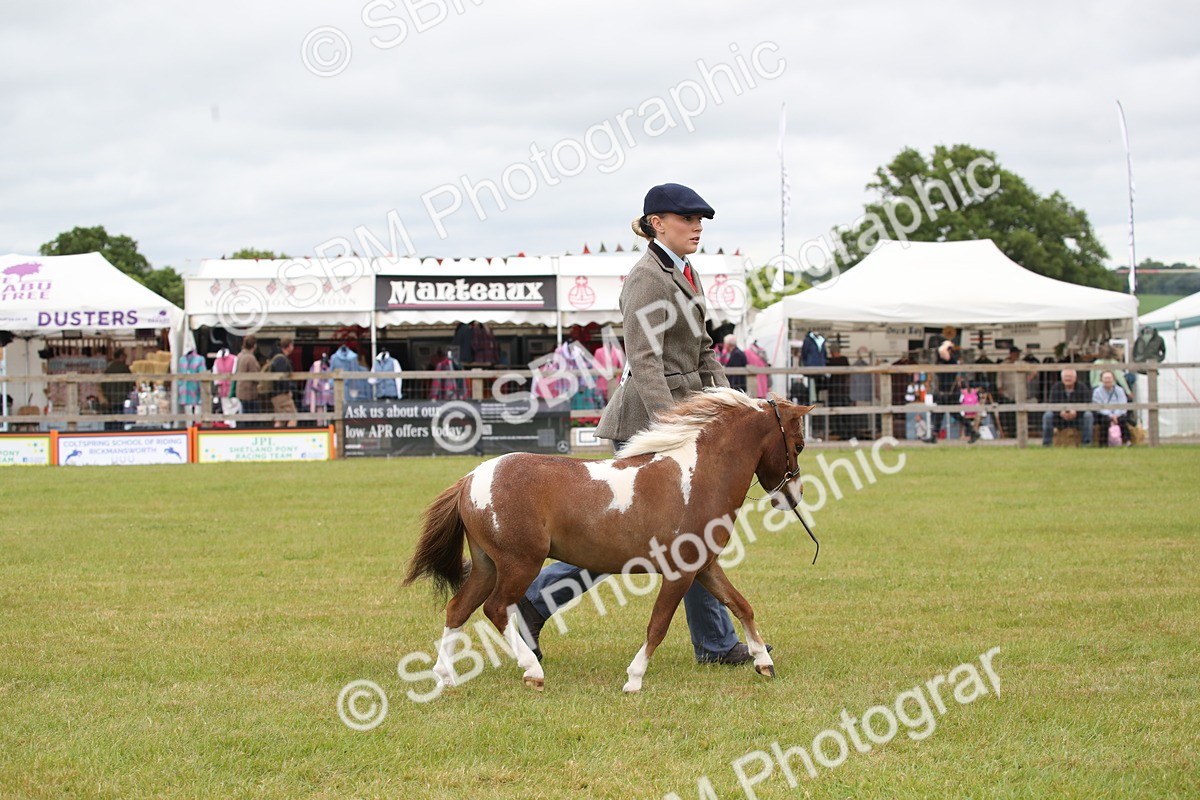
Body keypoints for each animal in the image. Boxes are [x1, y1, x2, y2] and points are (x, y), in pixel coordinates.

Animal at [403, 388, 815, 693]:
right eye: (798, 444)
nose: (792, 497)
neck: (697, 476)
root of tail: (470, 479)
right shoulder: (680, 572)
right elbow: (658, 625)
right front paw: (633, 679)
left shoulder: (705, 566)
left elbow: (741, 606)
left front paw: (764, 662)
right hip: (519, 562)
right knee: (495, 608)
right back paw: (532, 670)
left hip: (487, 564)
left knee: (458, 609)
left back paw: (445, 677)